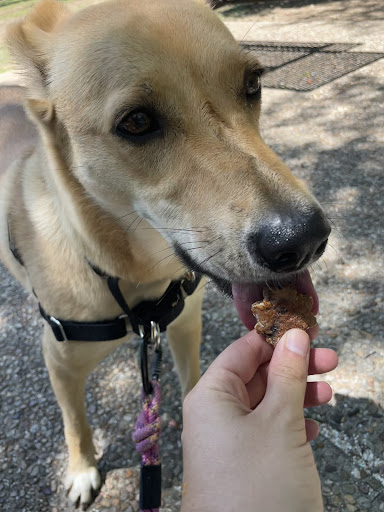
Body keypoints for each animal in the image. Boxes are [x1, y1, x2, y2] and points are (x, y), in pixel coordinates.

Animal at [0, 0, 330, 506]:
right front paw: (81, 470)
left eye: (253, 84)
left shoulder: (185, 324)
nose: (304, 239)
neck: (131, 279)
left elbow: (192, 380)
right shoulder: (58, 361)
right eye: (136, 122)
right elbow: (75, 422)